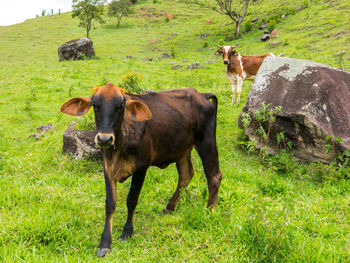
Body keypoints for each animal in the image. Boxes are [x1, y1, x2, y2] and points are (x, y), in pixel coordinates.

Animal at [59, 83, 221, 258]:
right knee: (186, 175)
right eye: (95, 105)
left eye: (121, 106)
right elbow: (110, 203)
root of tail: (202, 95)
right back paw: (169, 208)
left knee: (214, 176)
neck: (119, 144)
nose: (104, 139)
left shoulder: (141, 167)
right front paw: (105, 243)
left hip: (206, 141)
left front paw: (126, 232)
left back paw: (209, 211)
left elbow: (131, 200)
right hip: (182, 149)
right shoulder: (107, 167)